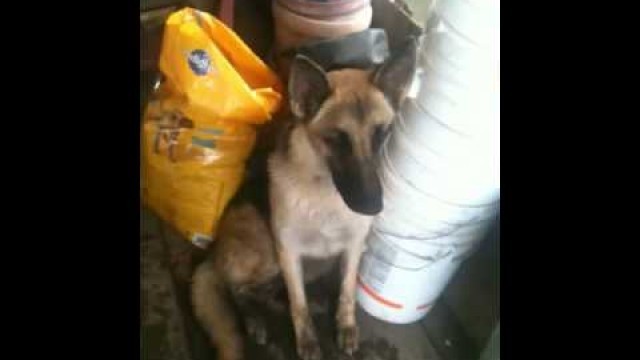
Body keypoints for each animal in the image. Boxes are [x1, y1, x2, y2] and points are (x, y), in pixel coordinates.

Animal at [192, 39, 418, 360]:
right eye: (336, 139)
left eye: (381, 135)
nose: (373, 207)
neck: (324, 195)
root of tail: (212, 255)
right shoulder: (289, 251)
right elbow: (298, 305)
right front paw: (307, 340)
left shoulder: (353, 248)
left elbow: (346, 292)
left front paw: (345, 325)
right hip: (267, 249)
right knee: (237, 288)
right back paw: (253, 317)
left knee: (265, 290)